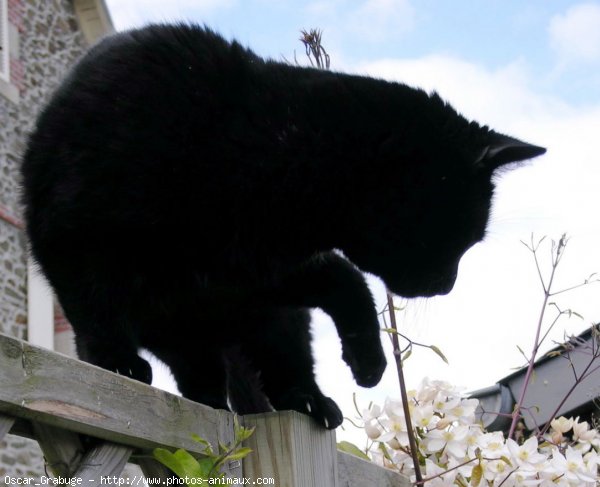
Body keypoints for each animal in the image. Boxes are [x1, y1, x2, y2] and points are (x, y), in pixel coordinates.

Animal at [19, 24, 544, 428]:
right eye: (454, 237)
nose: (447, 284)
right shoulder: (80, 240)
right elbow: (95, 312)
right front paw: (115, 363)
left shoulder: (257, 272)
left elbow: (344, 278)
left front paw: (367, 362)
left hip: (255, 317)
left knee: (263, 359)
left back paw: (302, 398)